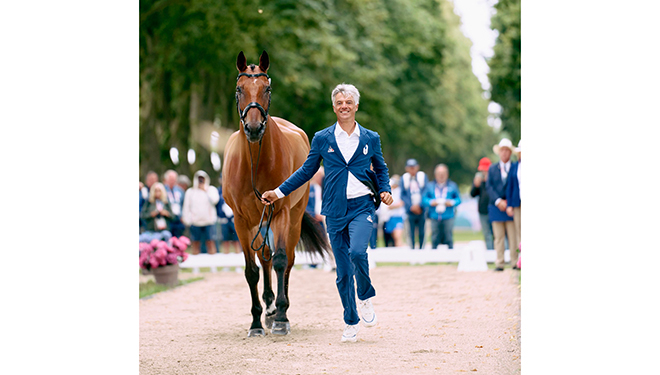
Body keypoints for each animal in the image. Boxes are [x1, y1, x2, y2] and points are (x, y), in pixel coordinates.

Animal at [224, 50, 332, 338]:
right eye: (239, 89)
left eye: (267, 88)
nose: (253, 128)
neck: (255, 163)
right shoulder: (241, 221)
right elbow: (252, 270)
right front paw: (256, 322)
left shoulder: (280, 212)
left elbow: (282, 260)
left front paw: (282, 318)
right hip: (259, 222)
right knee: (265, 258)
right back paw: (269, 308)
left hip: (291, 219)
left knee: (287, 260)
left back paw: (279, 311)